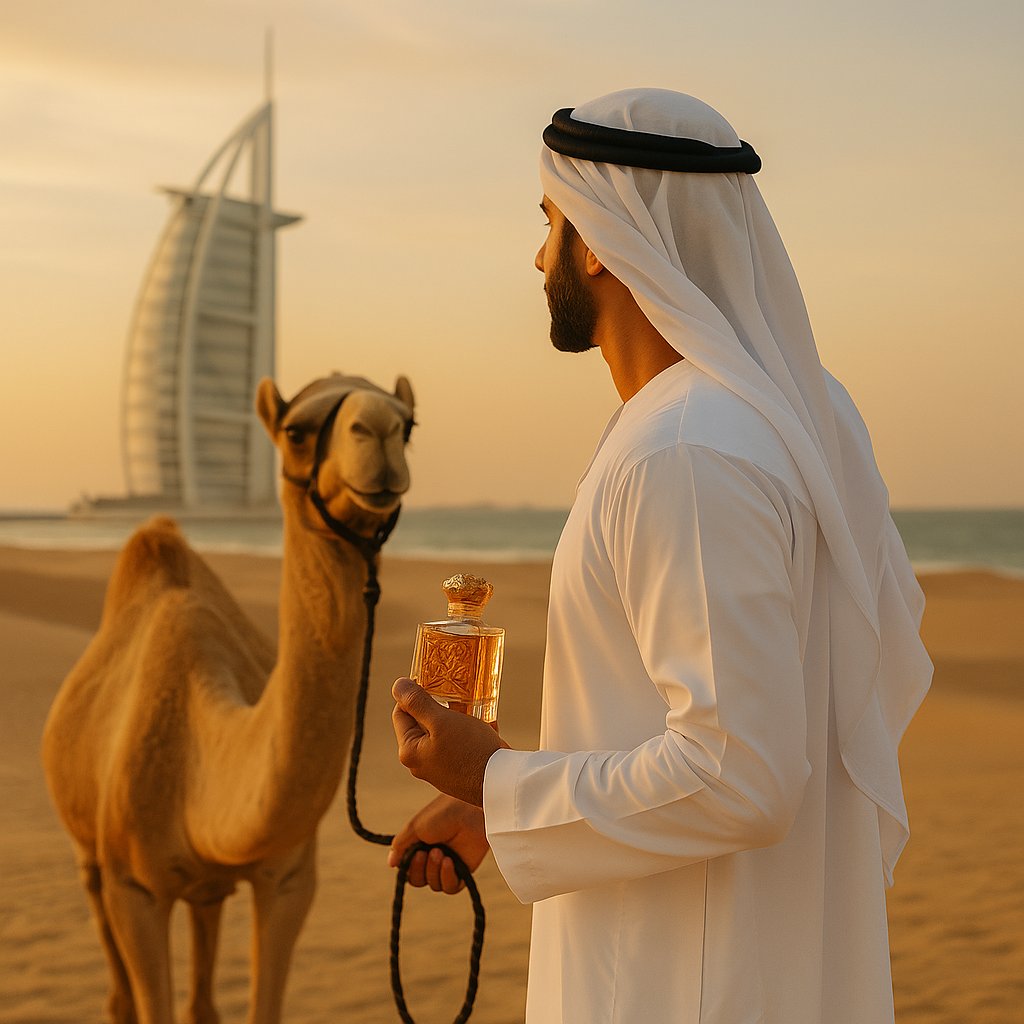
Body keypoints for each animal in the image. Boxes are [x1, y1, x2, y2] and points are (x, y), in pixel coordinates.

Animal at [41, 371, 415, 1024]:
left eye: (410, 424)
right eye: (296, 431)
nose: (379, 429)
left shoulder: (290, 881)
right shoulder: (134, 889)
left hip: (205, 886)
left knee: (205, 945)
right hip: (87, 848)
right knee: (109, 953)